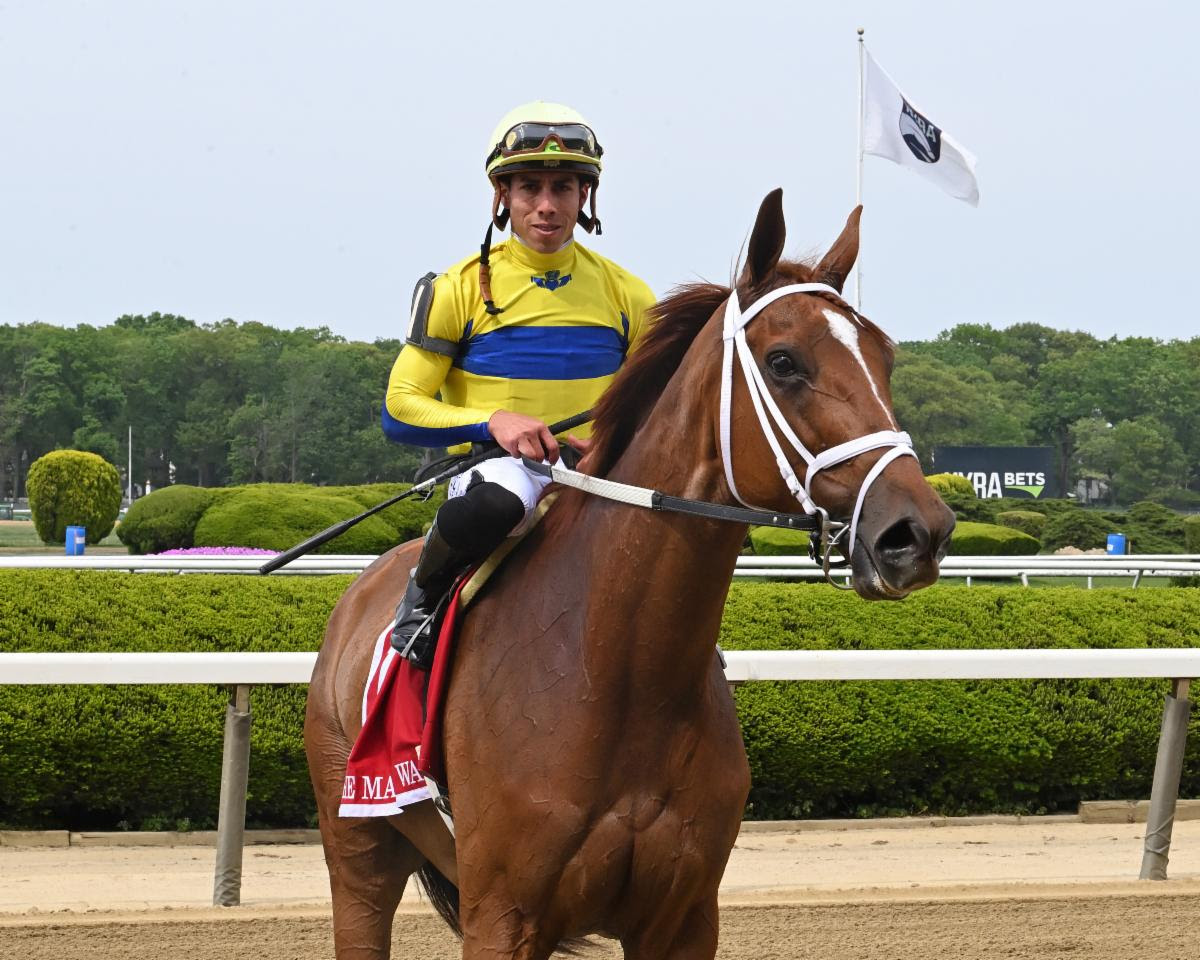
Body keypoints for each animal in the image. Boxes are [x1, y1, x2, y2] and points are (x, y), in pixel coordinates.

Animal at [307, 189, 955, 960]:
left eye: (885, 357)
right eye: (785, 361)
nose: (917, 532)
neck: (617, 668)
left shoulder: (683, 917)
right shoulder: (502, 914)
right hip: (359, 851)